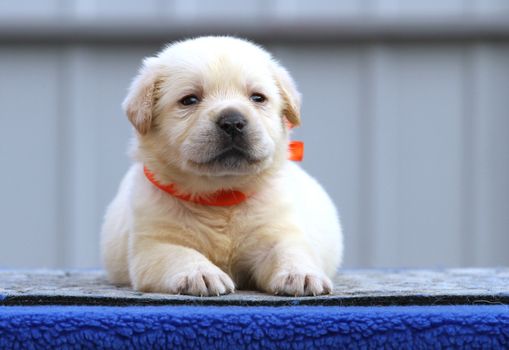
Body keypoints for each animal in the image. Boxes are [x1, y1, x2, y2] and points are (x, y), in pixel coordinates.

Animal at [101, 37, 344, 296]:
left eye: (258, 98)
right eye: (190, 100)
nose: (233, 122)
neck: (221, 196)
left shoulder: (278, 232)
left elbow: (290, 251)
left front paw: (301, 274)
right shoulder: (154, 246)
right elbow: (181, 255)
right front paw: (201, 274)